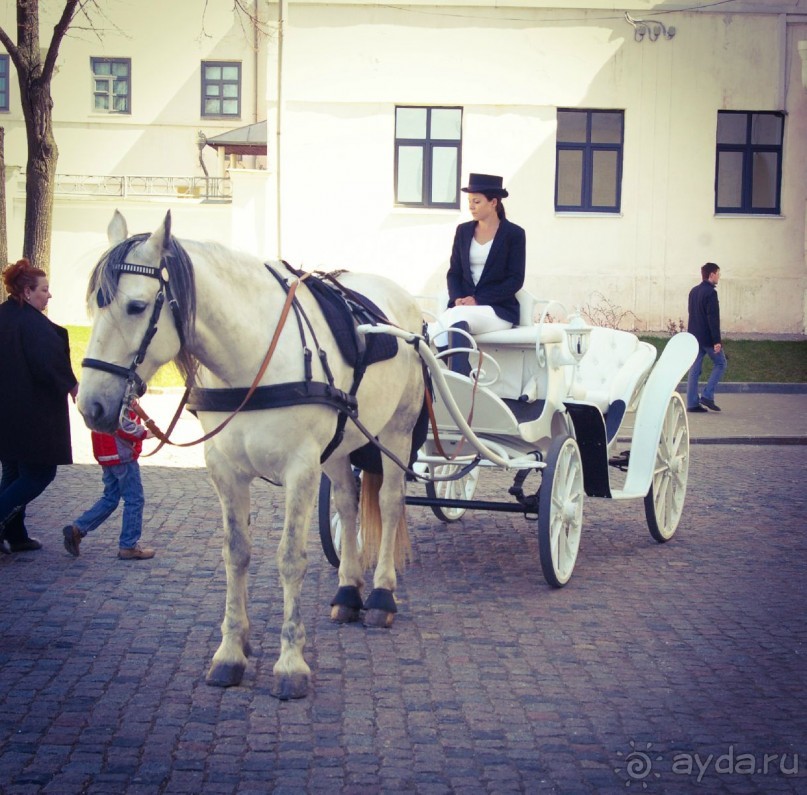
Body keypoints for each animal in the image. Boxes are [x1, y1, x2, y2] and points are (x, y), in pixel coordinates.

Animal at [78, 210, 426, 696]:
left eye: (136, 306)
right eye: (93, 306)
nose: (91, 405)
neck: (252, 357)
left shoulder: (301, 469)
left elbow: (290, 558)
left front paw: (291, 661)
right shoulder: (225, 470)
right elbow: (236, 553)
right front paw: (231, 650)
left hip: (396, 433)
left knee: (391, 504)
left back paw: (380, 595)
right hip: (338, 449)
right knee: (348, 503)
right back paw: (347, 591)